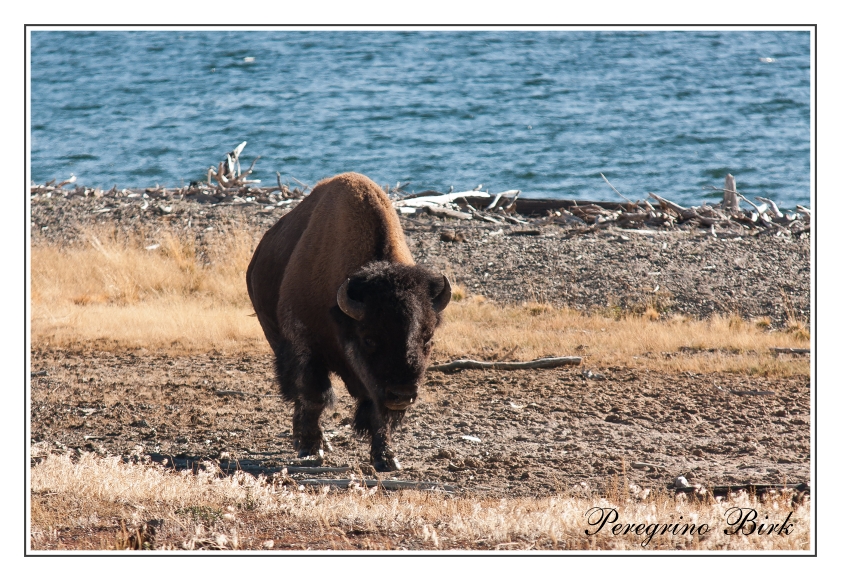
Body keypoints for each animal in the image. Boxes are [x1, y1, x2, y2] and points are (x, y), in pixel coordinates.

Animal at [244, 171, 450, 472]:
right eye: (369, 338)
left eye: (428, 338)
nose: (402, 393)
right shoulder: (305, 348)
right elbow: (314, 396)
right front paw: (311, 448)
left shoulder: (376, 386)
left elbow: (378, 413)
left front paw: (386, 459)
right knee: (299, 395)